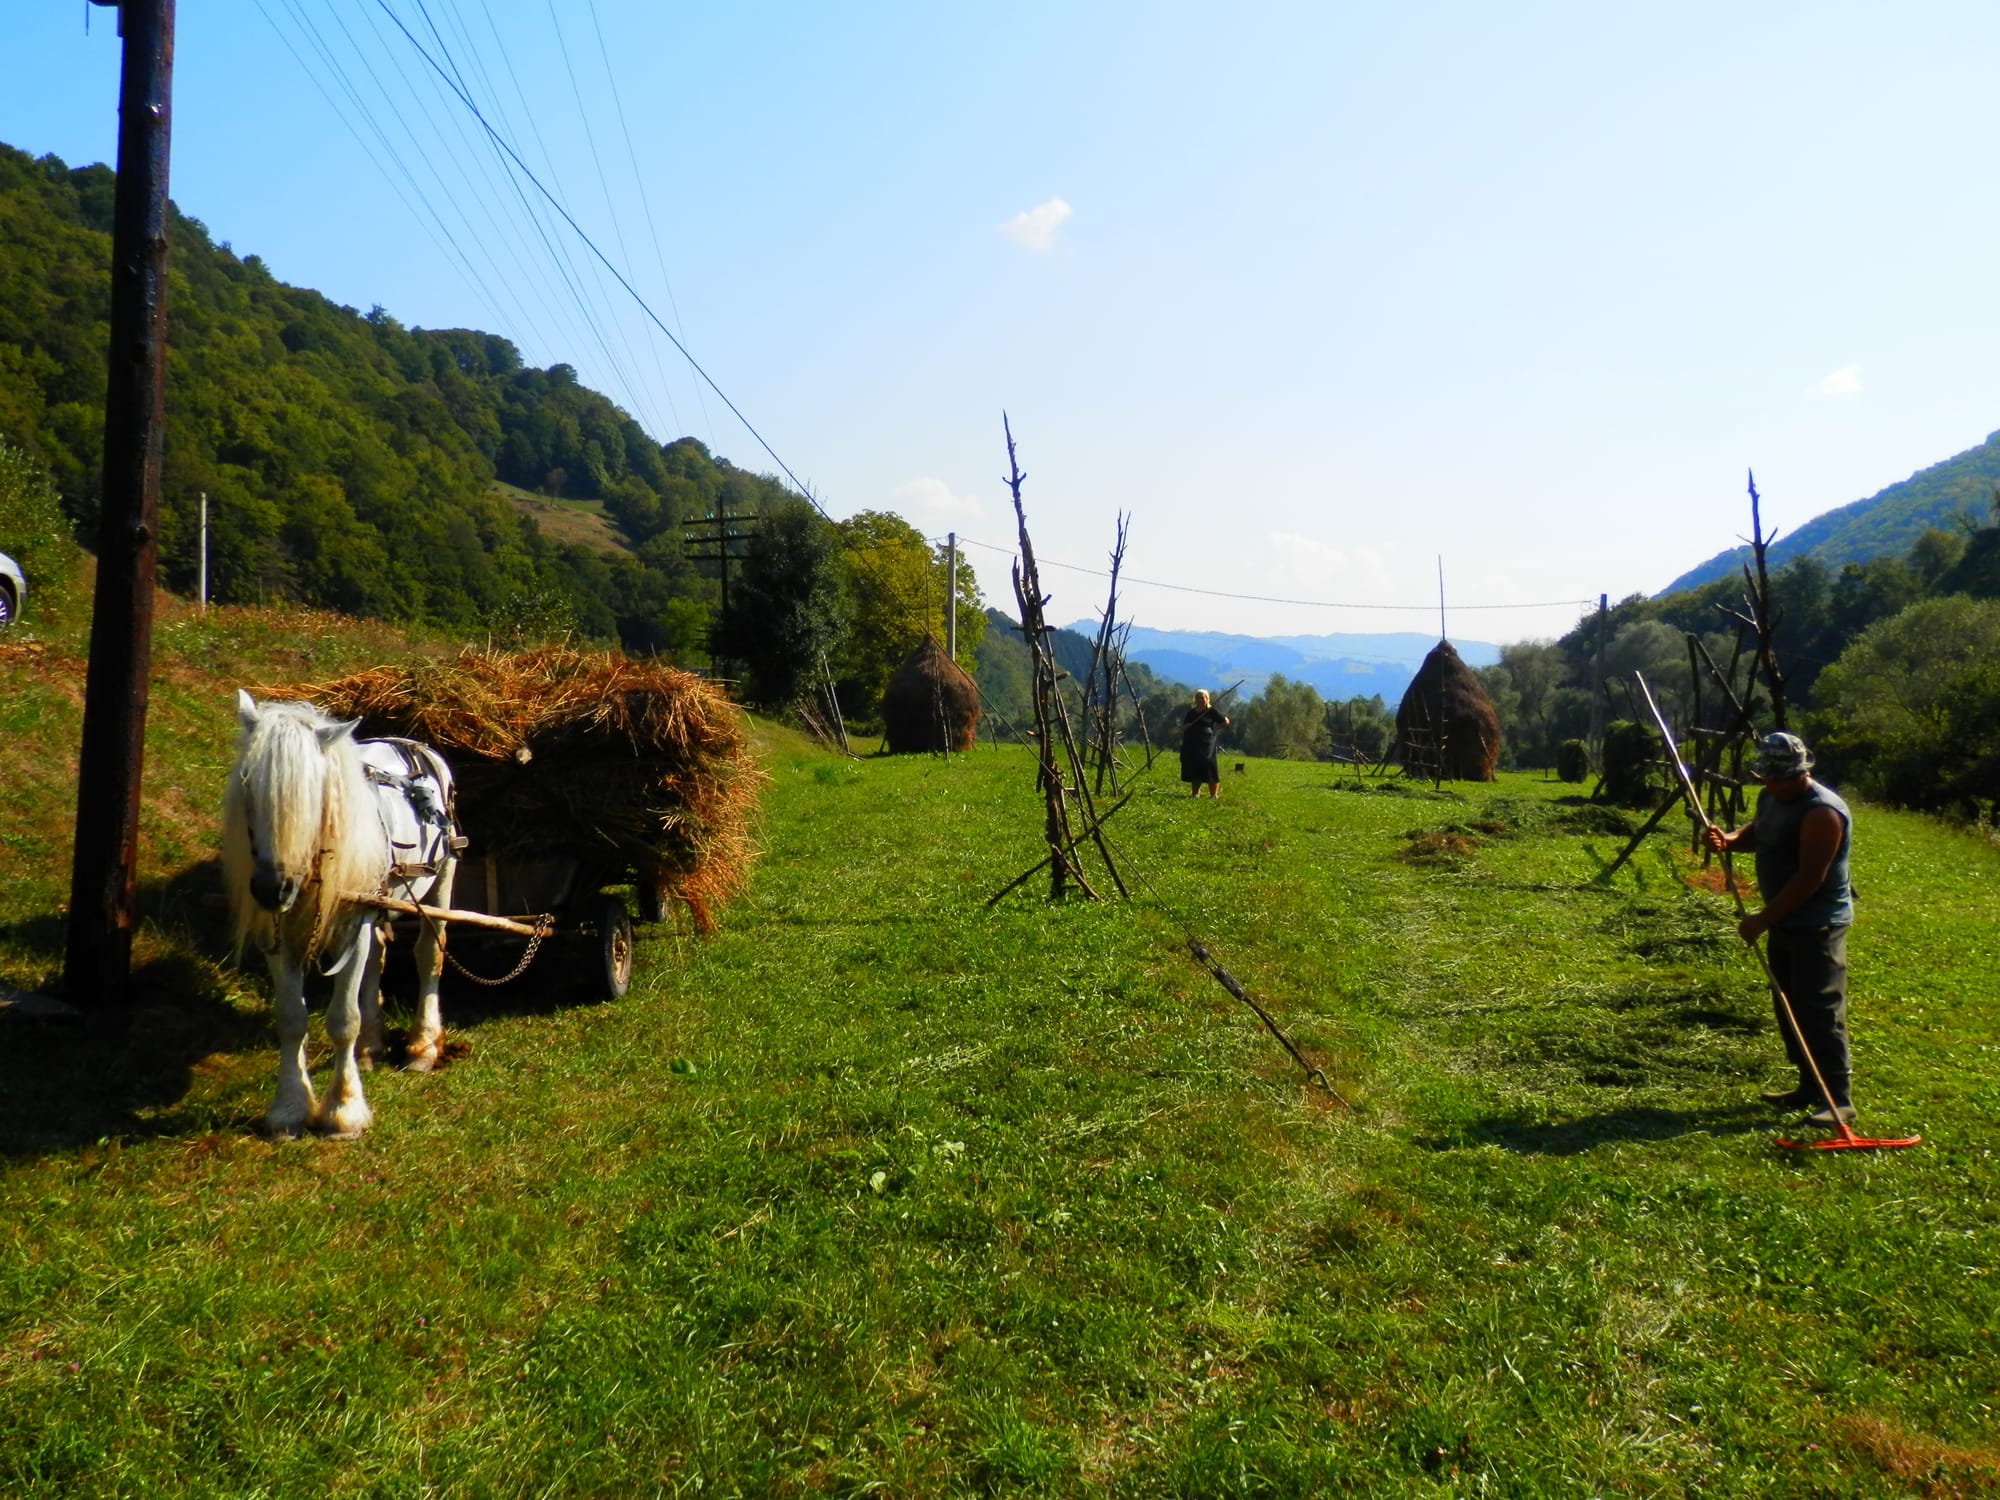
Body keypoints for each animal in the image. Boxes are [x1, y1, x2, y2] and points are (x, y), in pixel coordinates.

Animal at [222, 692, 460, 1136]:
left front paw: (343, 1111)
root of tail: (413, 743)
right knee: (378, 958)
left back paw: (422, 1045)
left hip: (441, 879)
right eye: (247, 784)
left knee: (428, 954)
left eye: (312, 795)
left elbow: (342, 1020)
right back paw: (370, 1044)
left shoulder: (353, 925)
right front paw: (289, 1108)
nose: (271, 888)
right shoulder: (279, 937)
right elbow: (292, 1019)